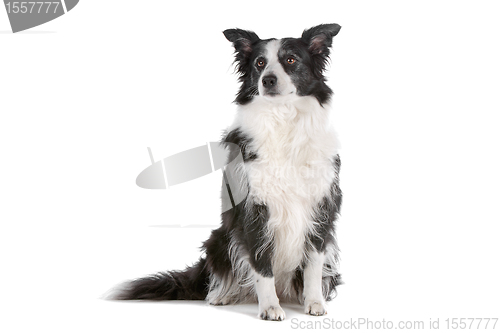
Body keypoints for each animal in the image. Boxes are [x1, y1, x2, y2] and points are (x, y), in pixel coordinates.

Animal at [113, 23, 342, 320]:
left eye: (291, 60)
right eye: (259, 63)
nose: (268, 80)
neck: (282, 118)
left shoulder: (321, 206)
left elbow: (313, 263)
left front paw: (314, 302)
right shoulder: (253, 209)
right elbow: (261, 264)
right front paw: (270, 307)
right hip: (220, 237)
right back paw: (222, 295)